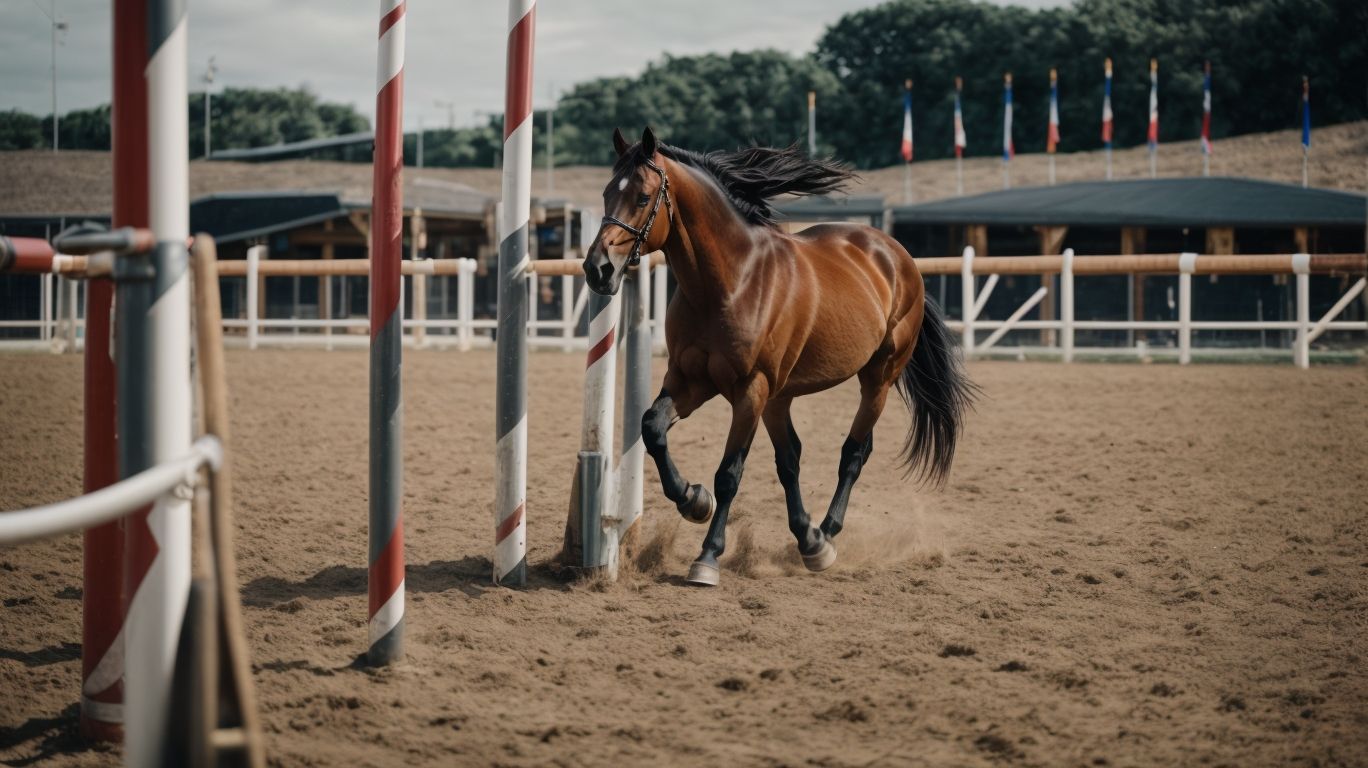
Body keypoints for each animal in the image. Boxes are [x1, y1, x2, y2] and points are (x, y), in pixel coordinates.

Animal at [583, 127, 974, 586]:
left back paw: (826, 532)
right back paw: (810, 540)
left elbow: (729, 474)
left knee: (853, 454)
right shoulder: (689, 380)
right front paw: (694, 500)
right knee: (792, 460)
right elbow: (652, 429)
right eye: (608, 192)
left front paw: (708, 557)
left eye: (643, 197)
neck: (731, 281)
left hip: (876, 379)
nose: (598, 269)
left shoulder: (749, 391)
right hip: (780, 397)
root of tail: (896, 254)